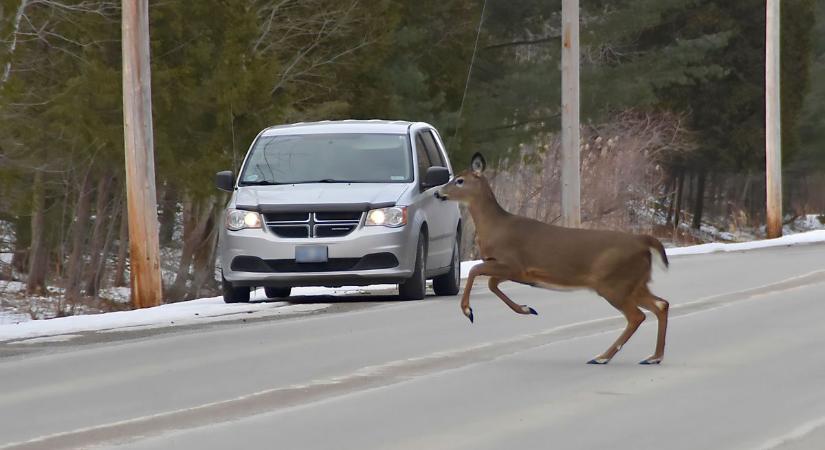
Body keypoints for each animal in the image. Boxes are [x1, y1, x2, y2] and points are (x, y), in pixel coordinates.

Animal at [438, 153, 668, 364]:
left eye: (459, 180)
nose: (439, 193)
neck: (494, 227)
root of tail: (642, 241)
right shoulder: (516, 271)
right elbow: (492, 284)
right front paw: (526, 309)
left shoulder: (513, 263)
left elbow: (475, 270)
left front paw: (468, 310)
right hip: (634, 283)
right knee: (661, 304)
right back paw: (653, 357)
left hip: (614, 283)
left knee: (637, 316)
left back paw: (603, 357)